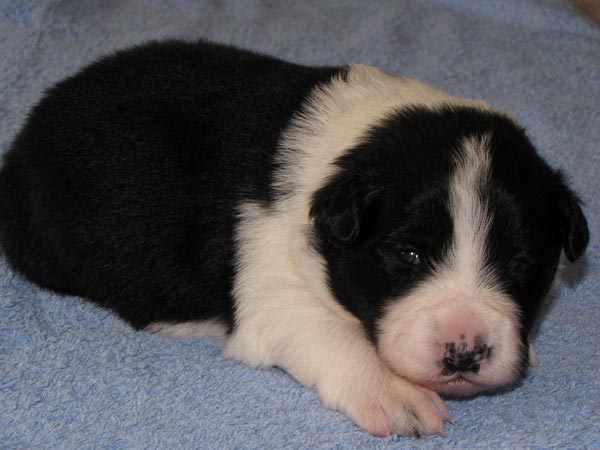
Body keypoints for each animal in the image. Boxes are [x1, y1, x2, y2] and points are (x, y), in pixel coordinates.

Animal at [0, 40, 588, 438]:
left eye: (520, 262)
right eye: (409, 254)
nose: (465, 352)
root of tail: (26, 133)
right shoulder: (270, 286)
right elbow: (333, 332)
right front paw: (394, 392)